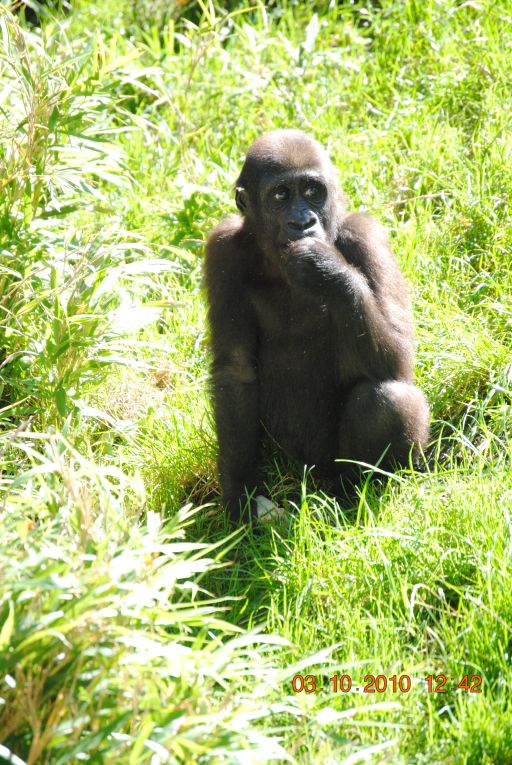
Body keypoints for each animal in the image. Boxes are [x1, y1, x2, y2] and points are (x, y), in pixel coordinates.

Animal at [205, 130, 429, 521]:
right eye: (281, 195)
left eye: (313, 191)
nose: (303, 222)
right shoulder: (222, 250)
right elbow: (235, 371)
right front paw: (238, 493)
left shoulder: (365, 235)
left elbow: (399, 356)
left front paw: (327, 269)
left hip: (336, 470)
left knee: (387, 399)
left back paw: (364, 493)